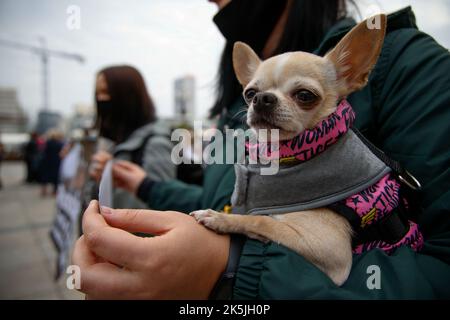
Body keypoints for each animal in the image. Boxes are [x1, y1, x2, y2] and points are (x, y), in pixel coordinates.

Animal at [190, 15, 386, 284]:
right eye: (249, 93)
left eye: (305, 95)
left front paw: (221, 218)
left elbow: (261, 221)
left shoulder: (331, 251)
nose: (262, 98)